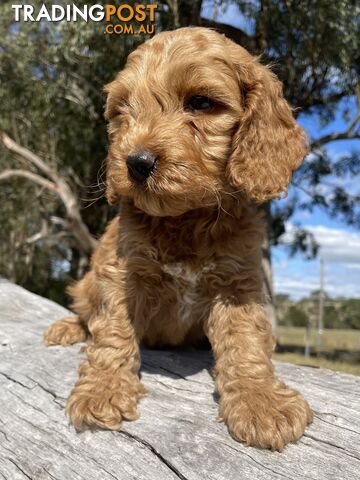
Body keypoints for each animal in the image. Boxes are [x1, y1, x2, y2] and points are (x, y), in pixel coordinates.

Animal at [44, 27, 312, 450]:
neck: (186, 218)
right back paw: (67, 327)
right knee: (86, 311)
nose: (136, 162)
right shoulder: (122, 273)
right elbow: (112, 333)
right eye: (123, 109)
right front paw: (103, 390)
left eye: (200, 103)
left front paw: (261, 401)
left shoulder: (237, 283)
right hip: (86, 283)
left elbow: (246, 341)